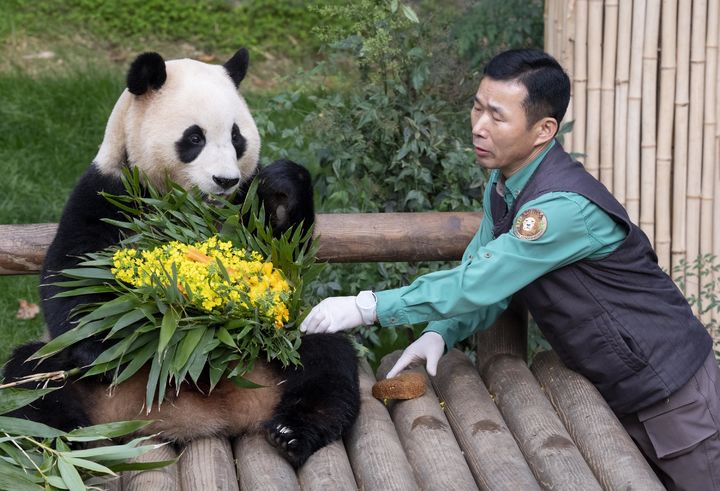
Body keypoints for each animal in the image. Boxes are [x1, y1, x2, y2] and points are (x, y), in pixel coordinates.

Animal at [0, 49, 360, 468]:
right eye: (194, 138)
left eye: (237, 137)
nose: (225, 180)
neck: (187, 206)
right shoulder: (109, 192)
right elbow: (71, 272)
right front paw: (104, 341)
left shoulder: (243, 202)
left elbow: (285, 256)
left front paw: (283, 190)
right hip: (71, 379)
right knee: (33, 380)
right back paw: (64, 445)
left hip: (280, 350)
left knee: (325, 359)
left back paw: (292, 433)